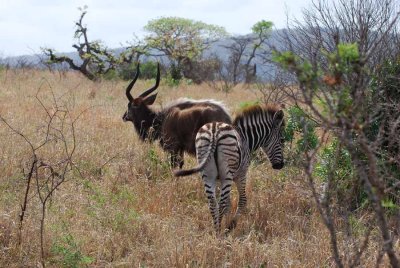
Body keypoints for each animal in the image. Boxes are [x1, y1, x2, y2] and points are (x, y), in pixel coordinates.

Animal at [175, 103, 284, 233]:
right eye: (282, 140)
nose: (280, 165)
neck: (246, 138)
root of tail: (214, 131)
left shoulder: (218, 179)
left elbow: (227, 202)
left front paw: (225, 222)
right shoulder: (241, 174)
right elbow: (242, 200)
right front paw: (230, 225)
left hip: (207, 173)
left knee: (212, 203)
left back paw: (216, 230)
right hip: (227, 173)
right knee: (221, 203)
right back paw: (220, 233)